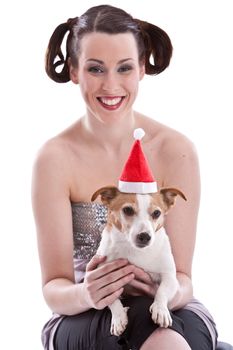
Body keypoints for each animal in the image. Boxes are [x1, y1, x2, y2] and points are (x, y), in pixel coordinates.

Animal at [90, 186, 186, 336]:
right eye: (128, 210)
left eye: (157, 213)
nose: (145, 236)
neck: (134, 250)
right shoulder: (103, 277)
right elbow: (112, 300)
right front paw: (118, 317)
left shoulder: (170, 277)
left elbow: (162, 291)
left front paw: (160, 309)